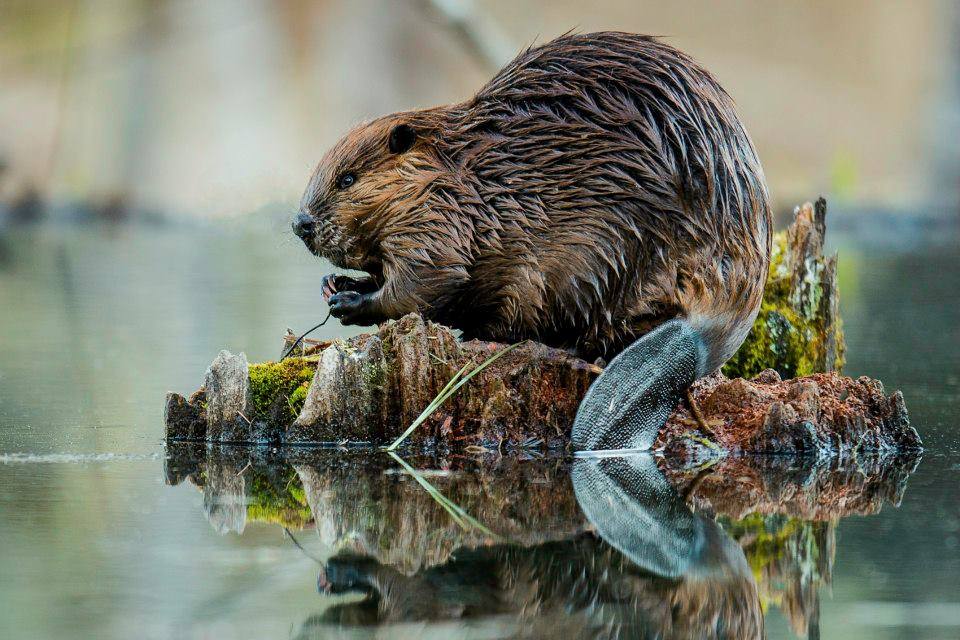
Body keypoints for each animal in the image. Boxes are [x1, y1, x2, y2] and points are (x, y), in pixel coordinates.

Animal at [292, 31, 772, 450]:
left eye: (347, 178)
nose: (301, 223)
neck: (460, 173)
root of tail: (701, 337)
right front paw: (335, 284)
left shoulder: (441, 222)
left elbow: (427, 283)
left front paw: (349, 301)